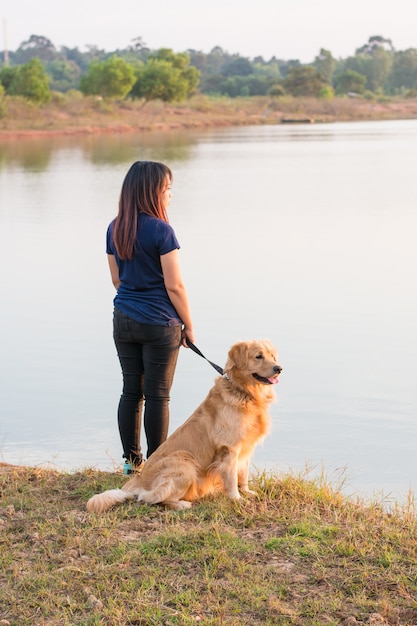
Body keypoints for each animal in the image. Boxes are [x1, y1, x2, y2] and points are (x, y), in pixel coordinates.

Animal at [88, 342, 282, 512]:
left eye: (272, 355)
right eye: (258, 356)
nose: (278, 368)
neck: (244, 391)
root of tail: (137, 480)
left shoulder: (246, 447)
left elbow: (243, 474)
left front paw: (246, 492)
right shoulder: (229, 449)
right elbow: (232, 478)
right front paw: (236, 498)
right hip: (185, 463)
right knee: (150, 498)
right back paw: (182, 504)